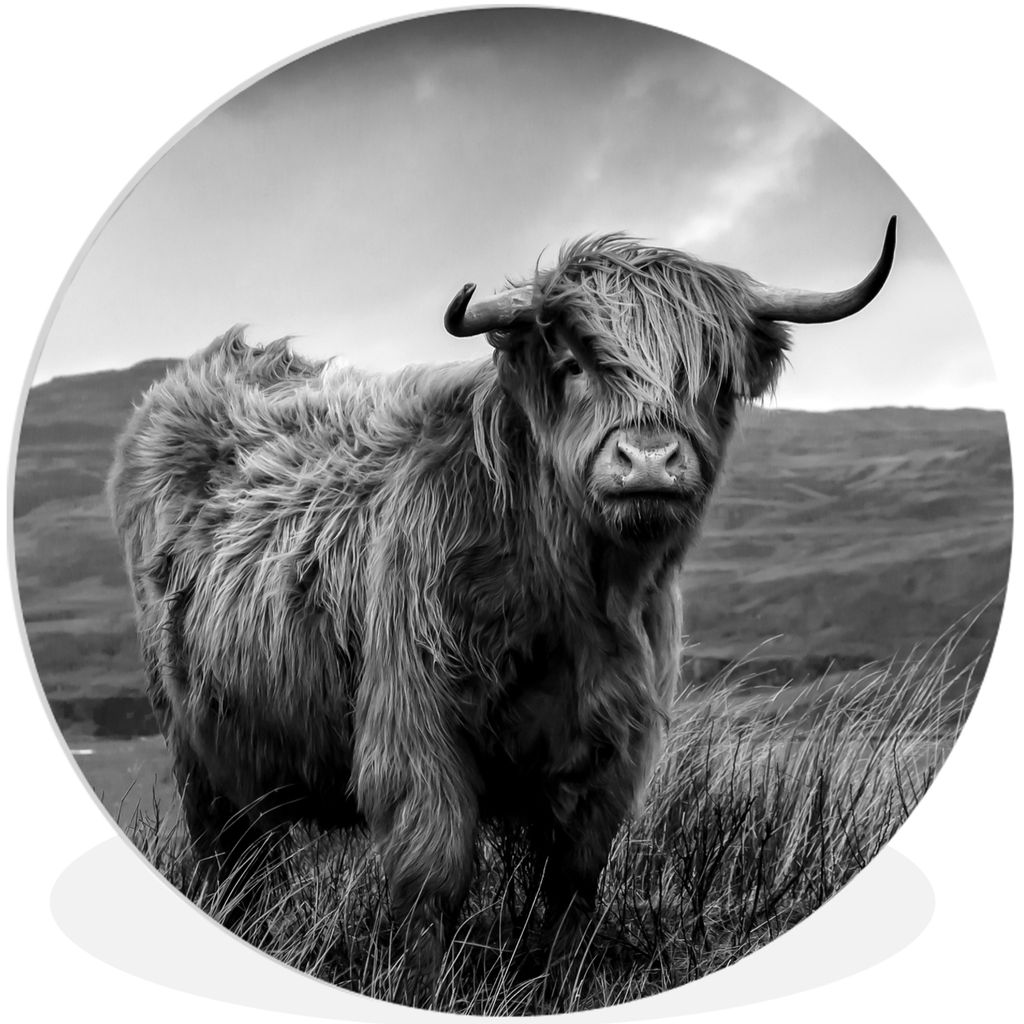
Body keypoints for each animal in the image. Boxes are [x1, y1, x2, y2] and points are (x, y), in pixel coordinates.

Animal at [108, 219, 896, 996]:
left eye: (711, 377)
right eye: (574, 364)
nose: (647, 460)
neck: (576, 600)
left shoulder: (612, 751)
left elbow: (572, 887)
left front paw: (559, 990)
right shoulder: (415, 731)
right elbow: (432, 882)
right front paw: (427, 994)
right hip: (196, 746)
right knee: (227, 859)